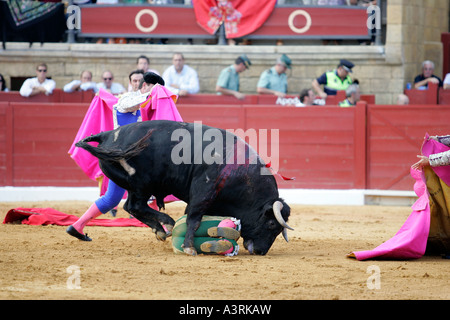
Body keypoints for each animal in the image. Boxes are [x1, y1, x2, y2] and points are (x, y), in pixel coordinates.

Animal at [75, 120, 294, 255]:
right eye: (271, 224)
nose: (260, 251)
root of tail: (108, 135)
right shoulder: (202, 193)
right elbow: (193, 219)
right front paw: (189, 247)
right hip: (141, 185)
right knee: (135, 206)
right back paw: (167, 224)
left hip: (134, 186)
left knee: (131, 207)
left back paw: (161, 229)